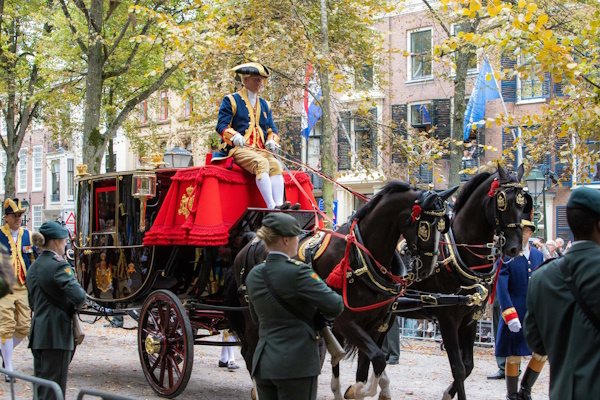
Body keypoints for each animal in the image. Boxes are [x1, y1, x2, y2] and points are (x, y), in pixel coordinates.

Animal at [229, 183, 454, 400]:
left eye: (443, 225)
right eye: (426, 225)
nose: (428, 268)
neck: (361, 255)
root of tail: (252, 240)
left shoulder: (376, 325)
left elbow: (368, 366)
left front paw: (361, 389)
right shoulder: (346, 323)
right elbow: (377, 359)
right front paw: (358, 390)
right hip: (251, 315)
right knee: (250, 351)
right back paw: (258, 389)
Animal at [346, 163, 528, 400]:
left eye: (523, 203)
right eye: (502, 200)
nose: (515, 248)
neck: (459, 253)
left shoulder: (470, 319)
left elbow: (468, 366)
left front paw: (448, 394)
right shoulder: (447, 318)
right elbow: (458, 368)